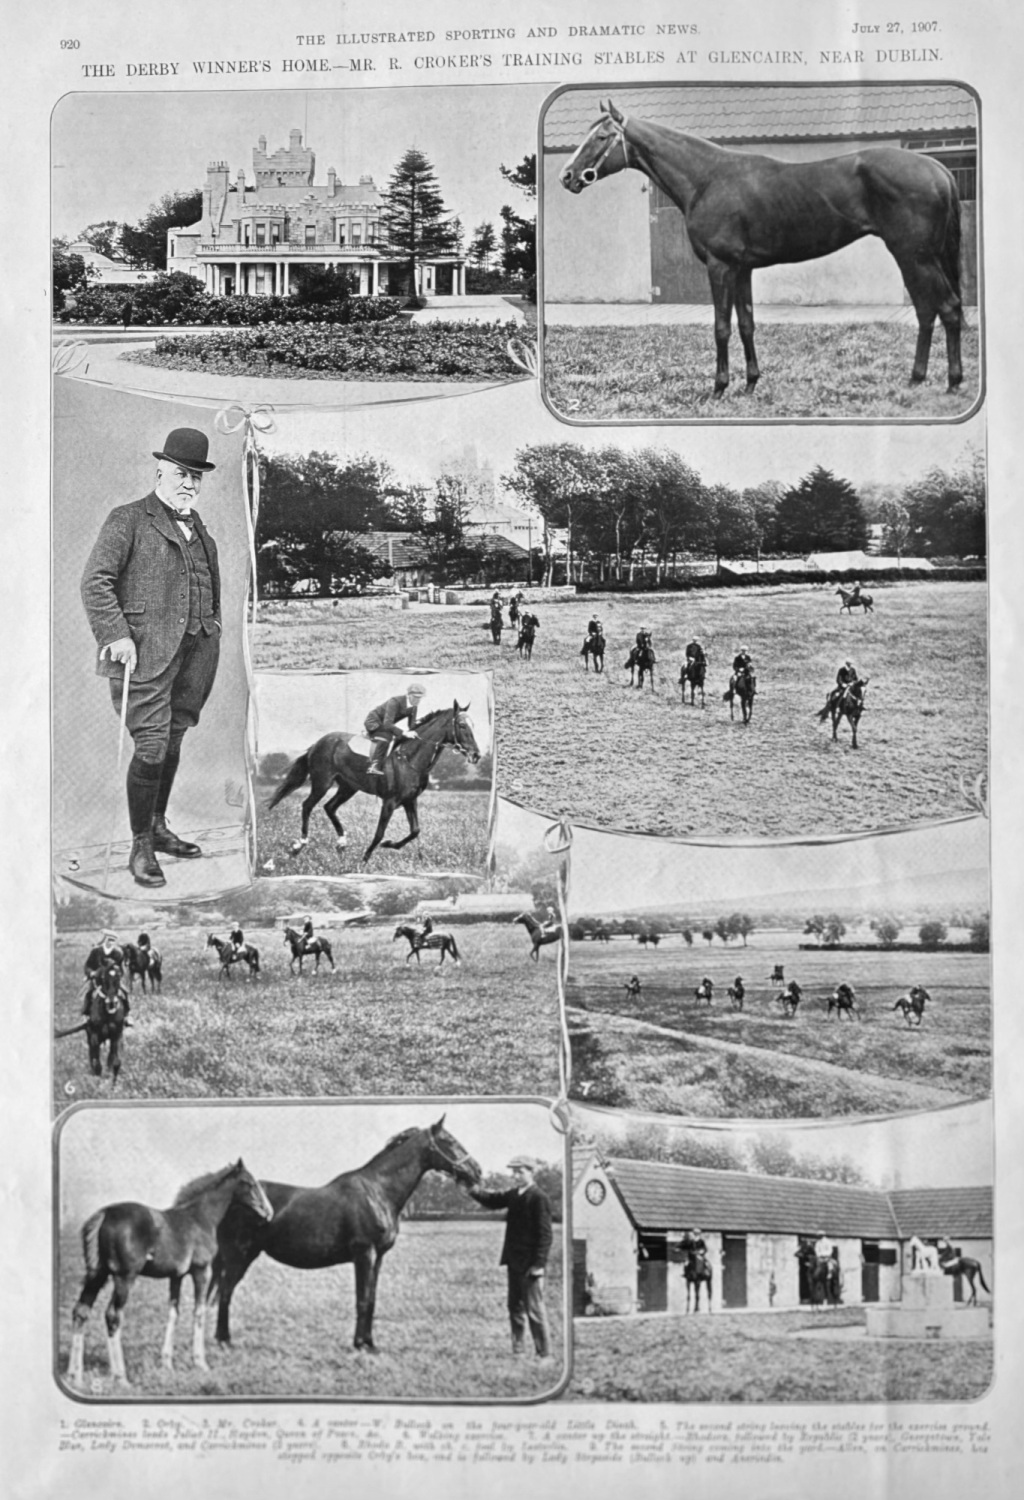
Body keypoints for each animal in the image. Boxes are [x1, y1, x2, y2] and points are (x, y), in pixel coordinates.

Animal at [67, 1158, 272, 1392]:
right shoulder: (201, 1270)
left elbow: (173, 1312)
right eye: (250, 1183)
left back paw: (75, 1375)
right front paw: (200, 1362)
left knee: (81, 1311)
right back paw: (121, 1377)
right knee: (112, 1315)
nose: (269, 1212)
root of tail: (104, 1213)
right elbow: (199, 1311)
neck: (201, 1217)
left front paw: (167, 1363)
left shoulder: (177, 1276)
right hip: (124, 1277)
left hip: (97, 1275)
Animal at [209, 1122, 482, 1356]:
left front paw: (370, 1343)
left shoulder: (378, 1257)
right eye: (449, 1140)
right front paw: (360, 1344)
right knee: (225, 1292)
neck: (377, 1191)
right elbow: (362, 1300)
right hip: (240, 1255)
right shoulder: (364, 1254)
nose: (476, 1171)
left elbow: (371, 1300)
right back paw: (224, 1341)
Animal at [269, 705, 482, 864]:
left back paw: (341, 843)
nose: (476, 755)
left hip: (348, 787)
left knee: (329, 807)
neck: (410, 758)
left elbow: (415, 831)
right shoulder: (389, 801)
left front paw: (389, 845)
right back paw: (299, 845)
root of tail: (318, 743)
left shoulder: (410, 800)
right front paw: (365, 858)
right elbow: (379, 833)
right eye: (462, 725)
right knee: (307, 805)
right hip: (322, 782)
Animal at [563, 102, 965, 402]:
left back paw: (952, 383)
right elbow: (746, 324)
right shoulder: (742, 269)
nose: (567, 176)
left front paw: (719, 388)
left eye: (601, 136)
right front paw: (751, 383)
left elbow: (721, 327)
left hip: (915, 256)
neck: (708, 178)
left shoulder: (720, 267)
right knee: (928, 311)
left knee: (946, 308)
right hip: (915, 257)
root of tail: (938, 168)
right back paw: (917, 379)